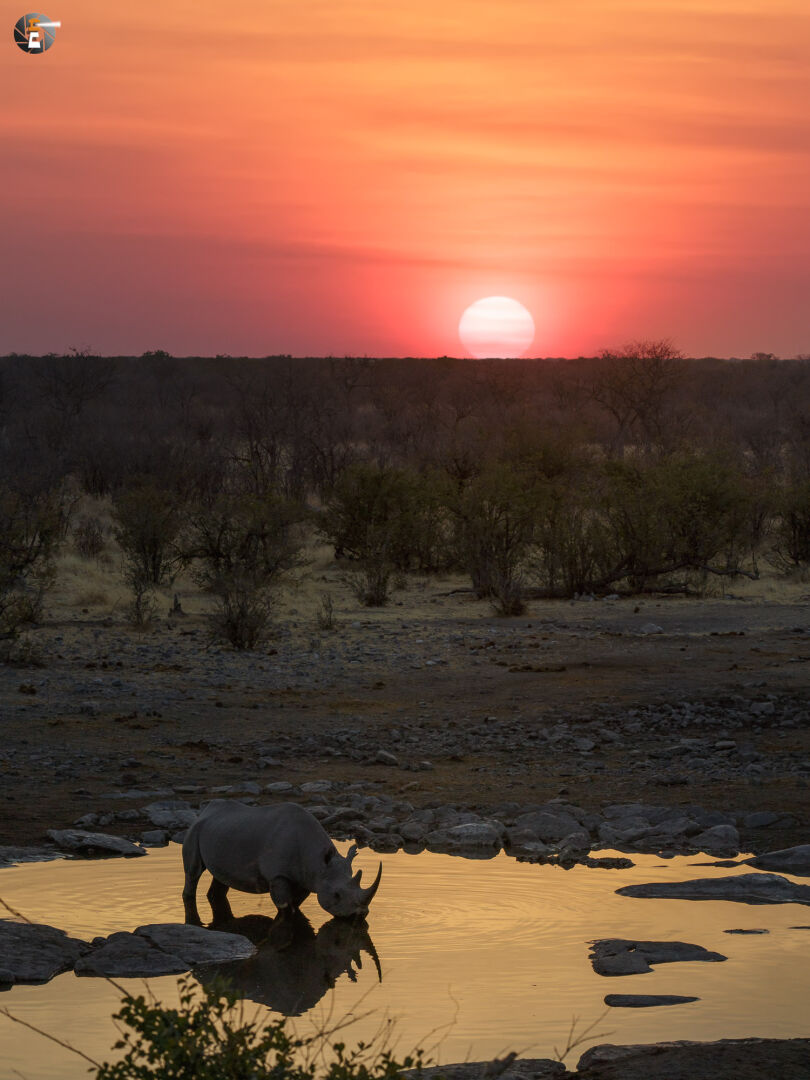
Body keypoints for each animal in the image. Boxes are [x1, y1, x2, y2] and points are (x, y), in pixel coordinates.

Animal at [182, 800, 382, 925]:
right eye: (337, 895)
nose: (360, 915)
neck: (319, 864)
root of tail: (206, 810)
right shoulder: (278, 876)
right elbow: (285, 906)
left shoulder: (306, 877)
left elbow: (296, 903)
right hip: (195, 829)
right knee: (193, 872)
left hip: (222, 831)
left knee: (220, 878)